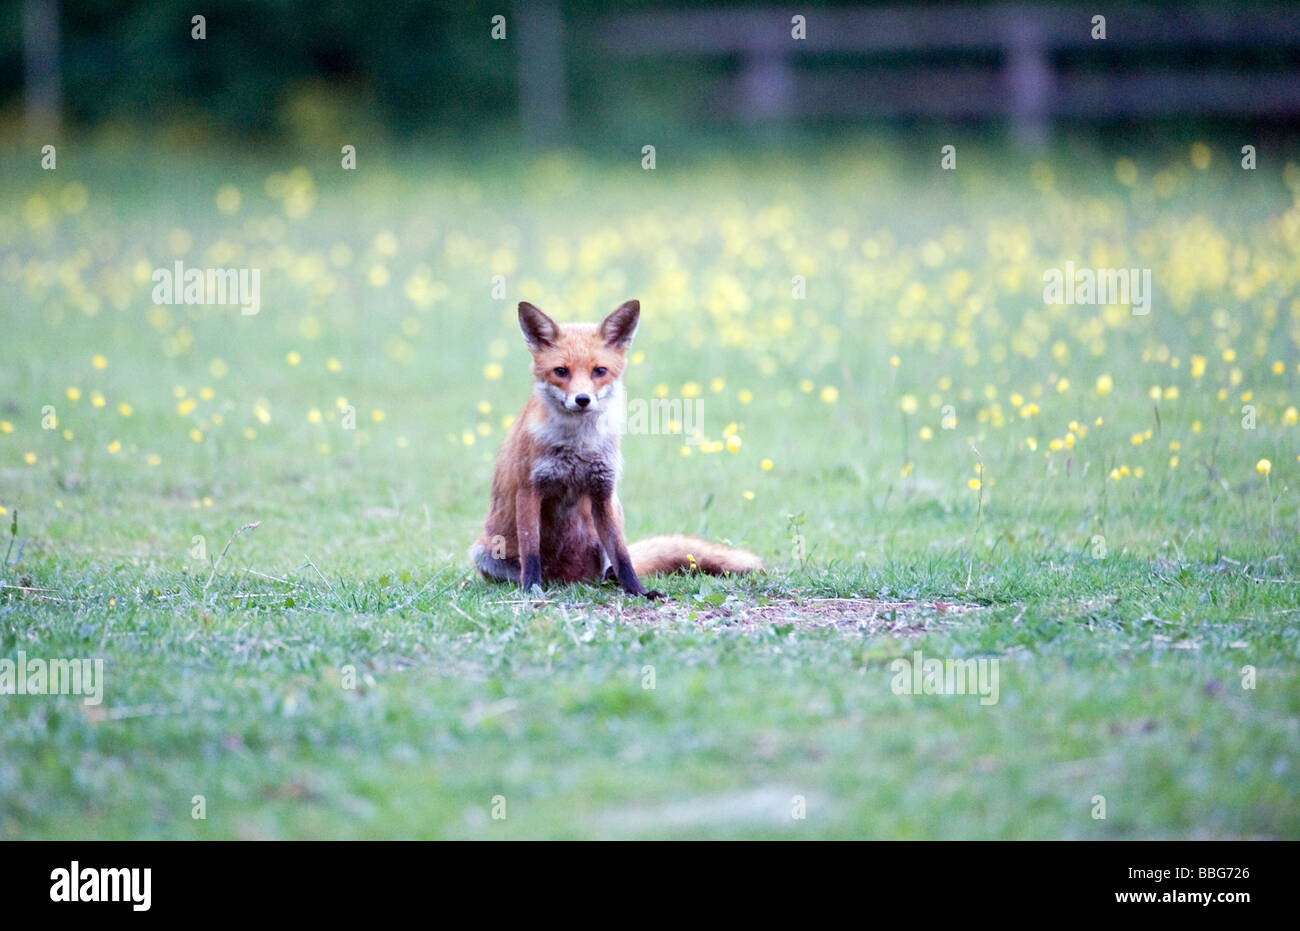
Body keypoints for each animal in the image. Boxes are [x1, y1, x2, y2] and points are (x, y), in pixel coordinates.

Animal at [470, 299, 763, 598]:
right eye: (561, 371)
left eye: (599, 371)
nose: (582, 399)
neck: (579, 445)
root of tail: (570, 580)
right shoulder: (529, 490)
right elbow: (530, 553)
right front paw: (531, 590)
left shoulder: (603, 491)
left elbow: (623, 555)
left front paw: (639, 591)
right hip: (483, 552)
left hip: (613, 515)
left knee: (612, 567)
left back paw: (611, 579)